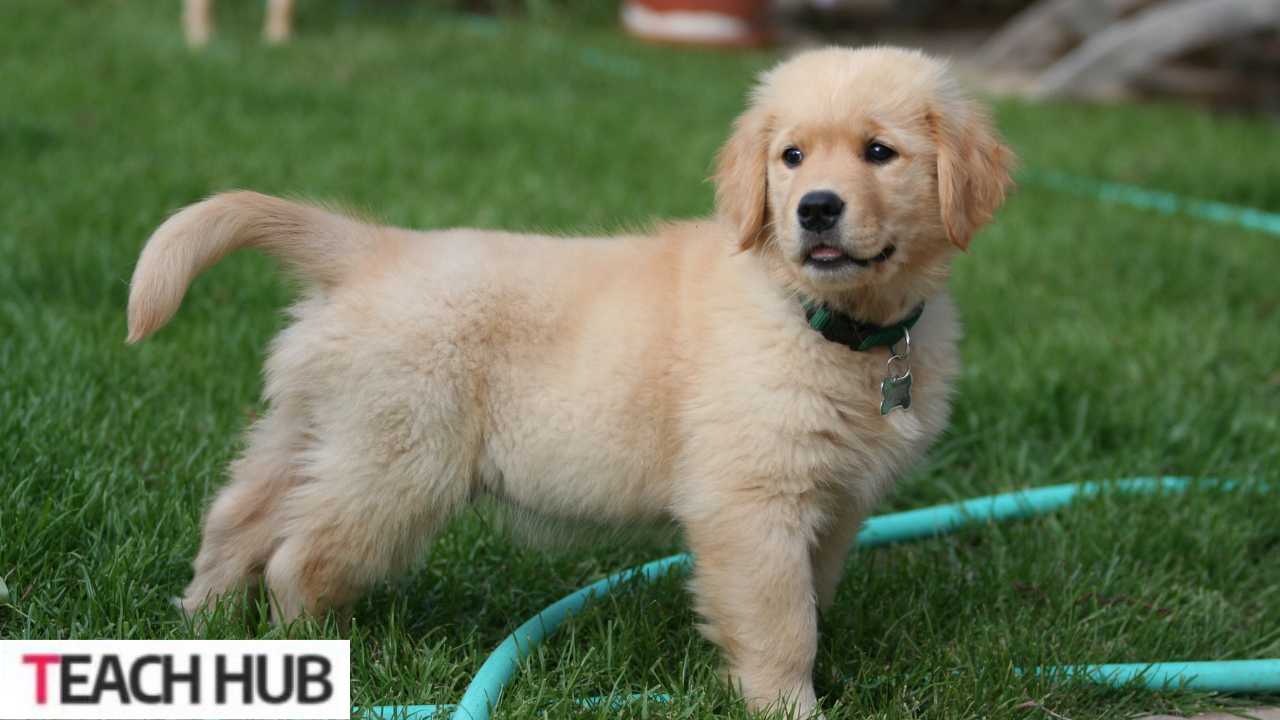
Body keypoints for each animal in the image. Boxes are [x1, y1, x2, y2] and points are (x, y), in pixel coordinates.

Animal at [124, 47, 1013, 712]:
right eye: (790, 157)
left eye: (878, 152)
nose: (816, 208)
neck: (827, 318)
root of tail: (375, 247)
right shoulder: (752, 501)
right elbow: (780, 620)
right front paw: (788, 706)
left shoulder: (832, 503)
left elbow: (812, 596)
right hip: (398, 463)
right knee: (297, 560)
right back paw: (317, 651)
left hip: (313, 425)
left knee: (237, 518)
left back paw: (204, 624)